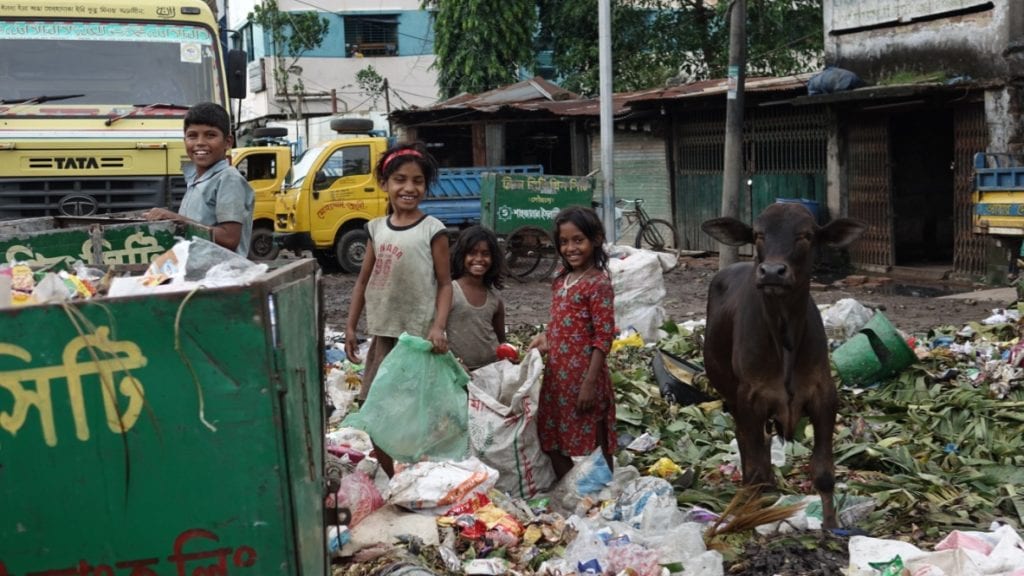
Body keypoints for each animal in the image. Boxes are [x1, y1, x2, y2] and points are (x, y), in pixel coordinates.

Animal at [700, 200, 860, 524]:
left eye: (806, 235)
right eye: (758, 234)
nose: (772, 271)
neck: (784, 331)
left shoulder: (824, 395)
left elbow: (823, 472)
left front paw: (830, 526)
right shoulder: (749, 398)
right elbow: (755, 463)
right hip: (731, 395)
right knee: (748, 448)